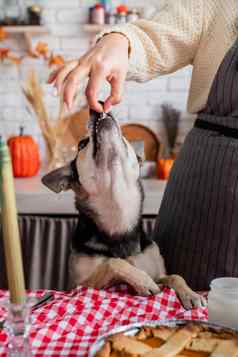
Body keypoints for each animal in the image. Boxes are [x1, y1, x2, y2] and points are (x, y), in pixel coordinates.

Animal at [41, 104, 205, 308]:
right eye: (81, 144)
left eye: (124, 136)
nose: (98, 108)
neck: (119, 209)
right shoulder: (82, 284)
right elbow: (114, 263)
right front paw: (143, 281)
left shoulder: (159, 273)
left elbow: (175, 276)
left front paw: (190, 294)